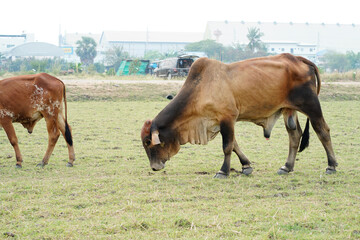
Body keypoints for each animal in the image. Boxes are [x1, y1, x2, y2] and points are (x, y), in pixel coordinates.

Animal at [141, 54, 338, 178]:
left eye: (149, 142)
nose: (154, 167)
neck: (200, 89)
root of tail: (299, 59)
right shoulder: (219, 122)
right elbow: (234, 145)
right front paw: (246, 166)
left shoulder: (227, 118)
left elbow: (227, 146)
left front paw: (223, 171)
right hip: (288, 110)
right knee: (295, 135)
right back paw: (287, 167)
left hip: (311, 106)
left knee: (323, 131)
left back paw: (331, 166)